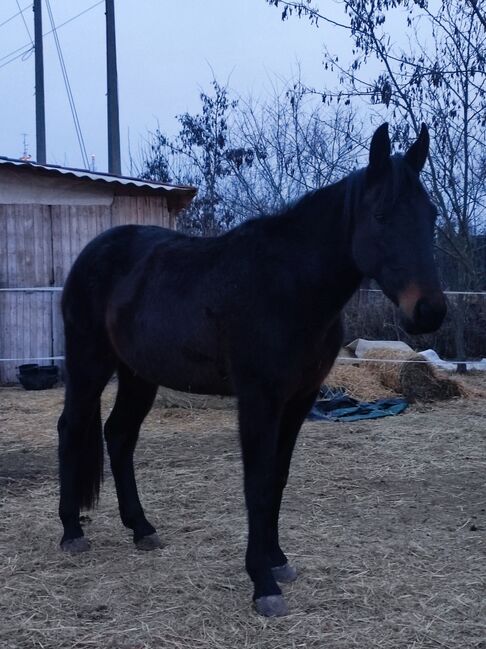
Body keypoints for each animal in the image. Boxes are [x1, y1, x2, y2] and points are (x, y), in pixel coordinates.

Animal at [58, 124, 446, 616]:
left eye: (430, 215)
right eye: (381, 215)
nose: (429, 311)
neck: (290, 286)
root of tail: (93, 252)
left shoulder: (298, 400)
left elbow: (277, 480)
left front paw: (278, 560)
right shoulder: (259, 400)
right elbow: (256, 483)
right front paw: (263, 583)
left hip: (138, 375)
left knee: (119, 435)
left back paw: (142, 529)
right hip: (88, 363)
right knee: (72, 428)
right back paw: (72, 532)